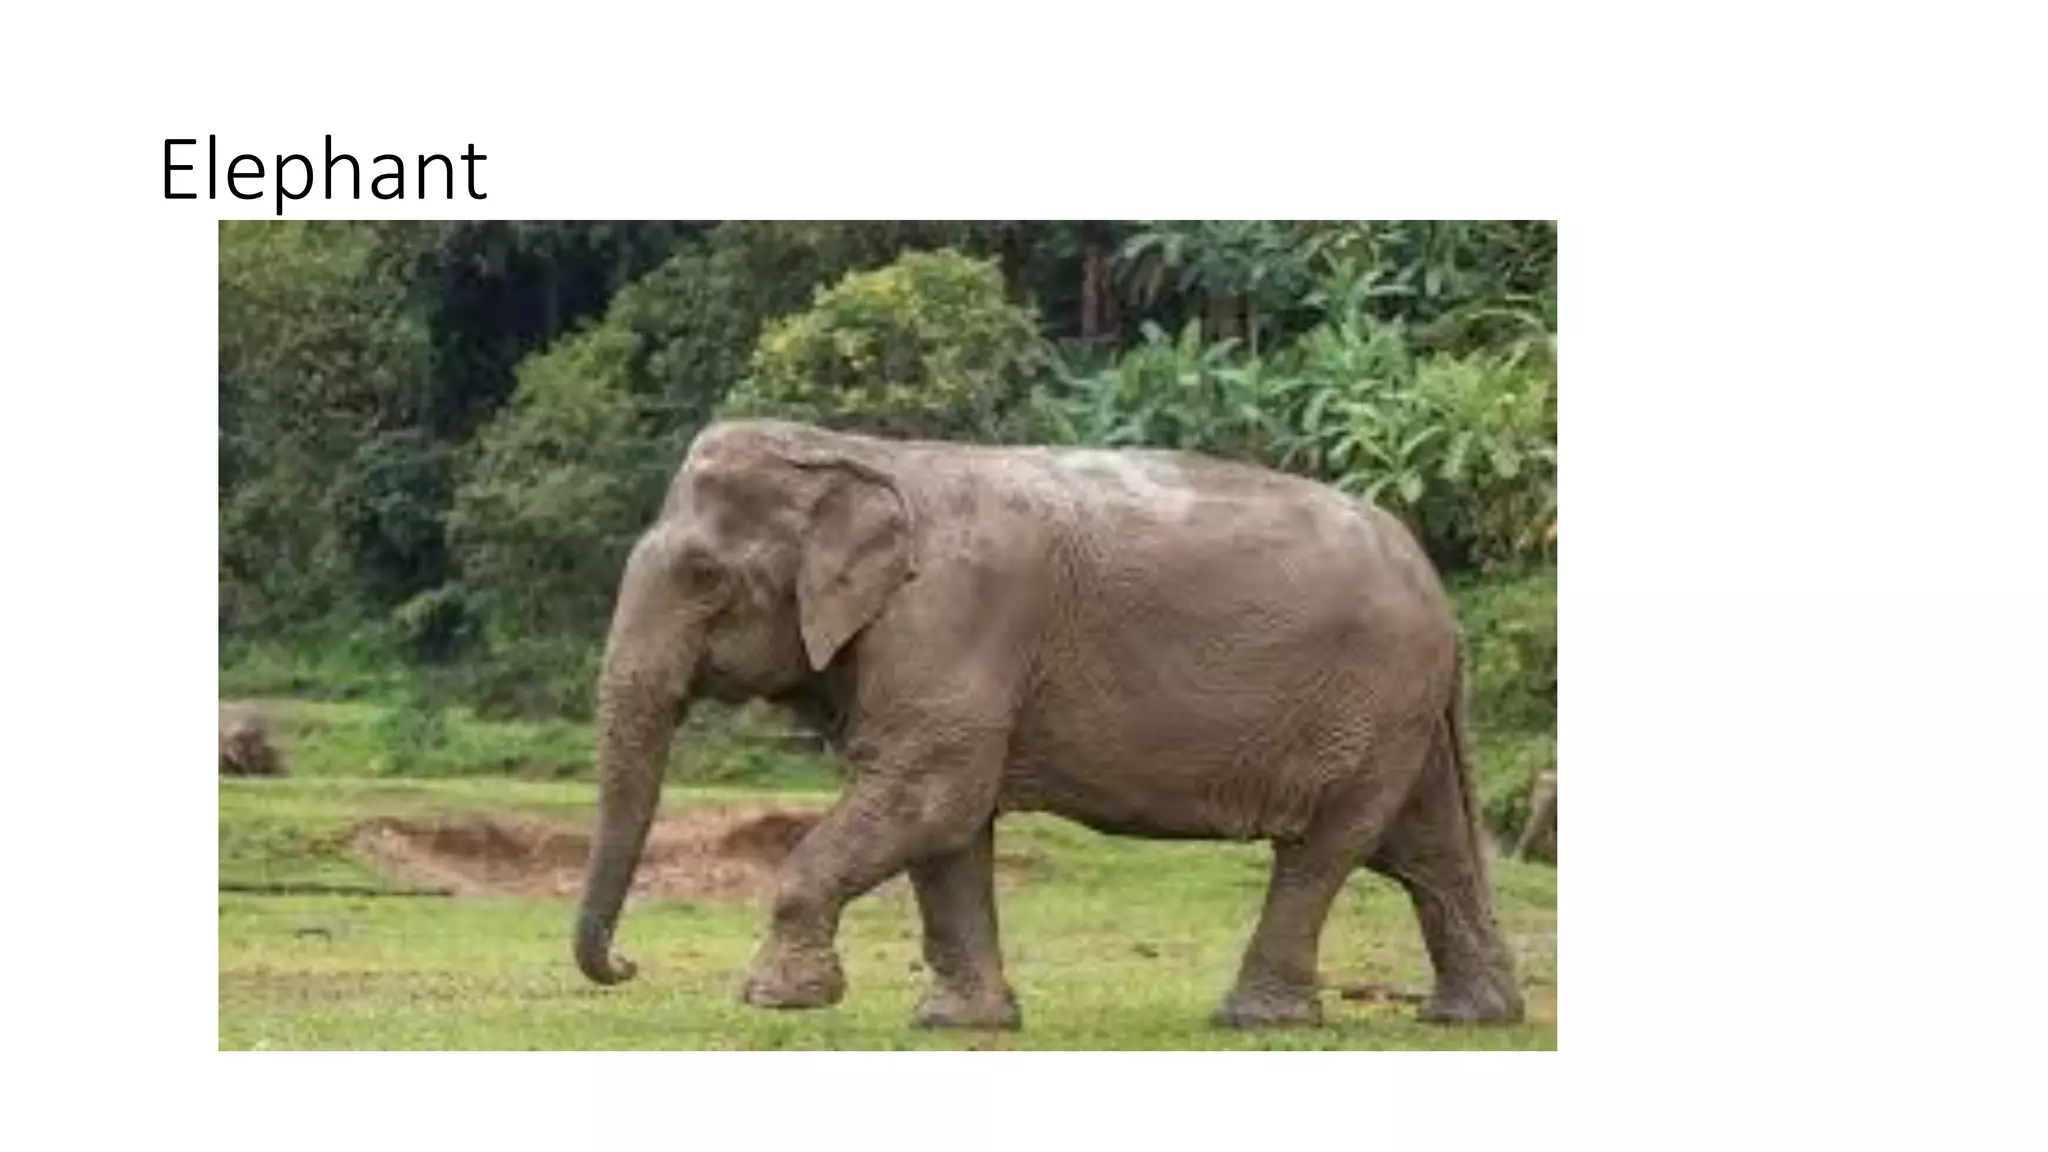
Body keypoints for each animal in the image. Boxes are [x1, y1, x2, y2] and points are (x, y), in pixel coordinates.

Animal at [573, 418, 1524, 1030]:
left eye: (703, 575)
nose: (627, 966)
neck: (860, 454)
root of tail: (1445, 606)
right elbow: (948, 829)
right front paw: (960, 1024)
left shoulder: (958, 615)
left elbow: (931, 795)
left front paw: (777, 1000)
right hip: (1399, 714)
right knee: (1425, 847)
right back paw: (1474, 1018)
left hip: (1369, 701)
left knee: (1325, 849)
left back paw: (1257, 1020)